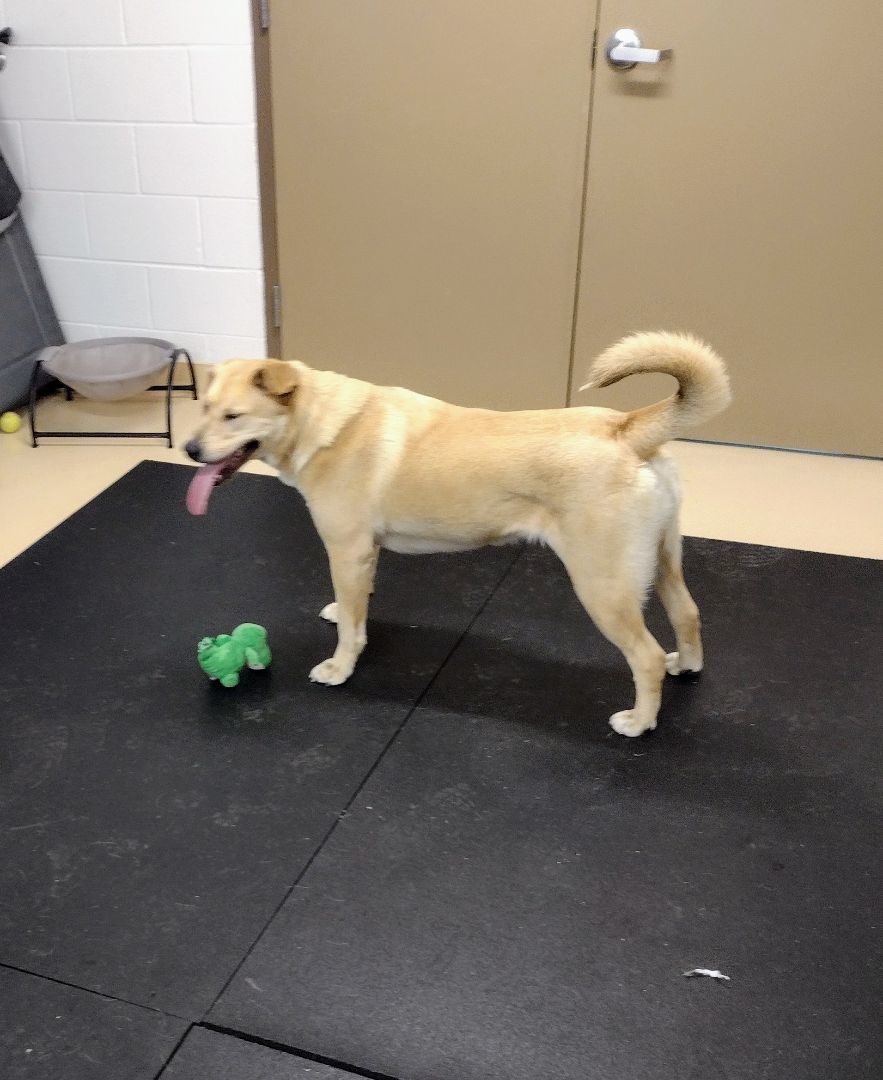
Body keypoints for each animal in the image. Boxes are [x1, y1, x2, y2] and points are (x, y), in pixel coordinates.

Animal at [184, 328, 729, 734]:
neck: (324, 424)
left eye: (233, 417)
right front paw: (343, 611)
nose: (188, 449)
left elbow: (352, 632)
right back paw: (687, 666)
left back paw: (640, 721)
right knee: (688, 614)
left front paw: (340, 667)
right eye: (203, 407)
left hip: (603, 586)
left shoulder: (346, 548)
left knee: (646, 657)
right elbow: (355, 605)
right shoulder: (361, 554)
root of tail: (626, 429)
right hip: (662, 560)